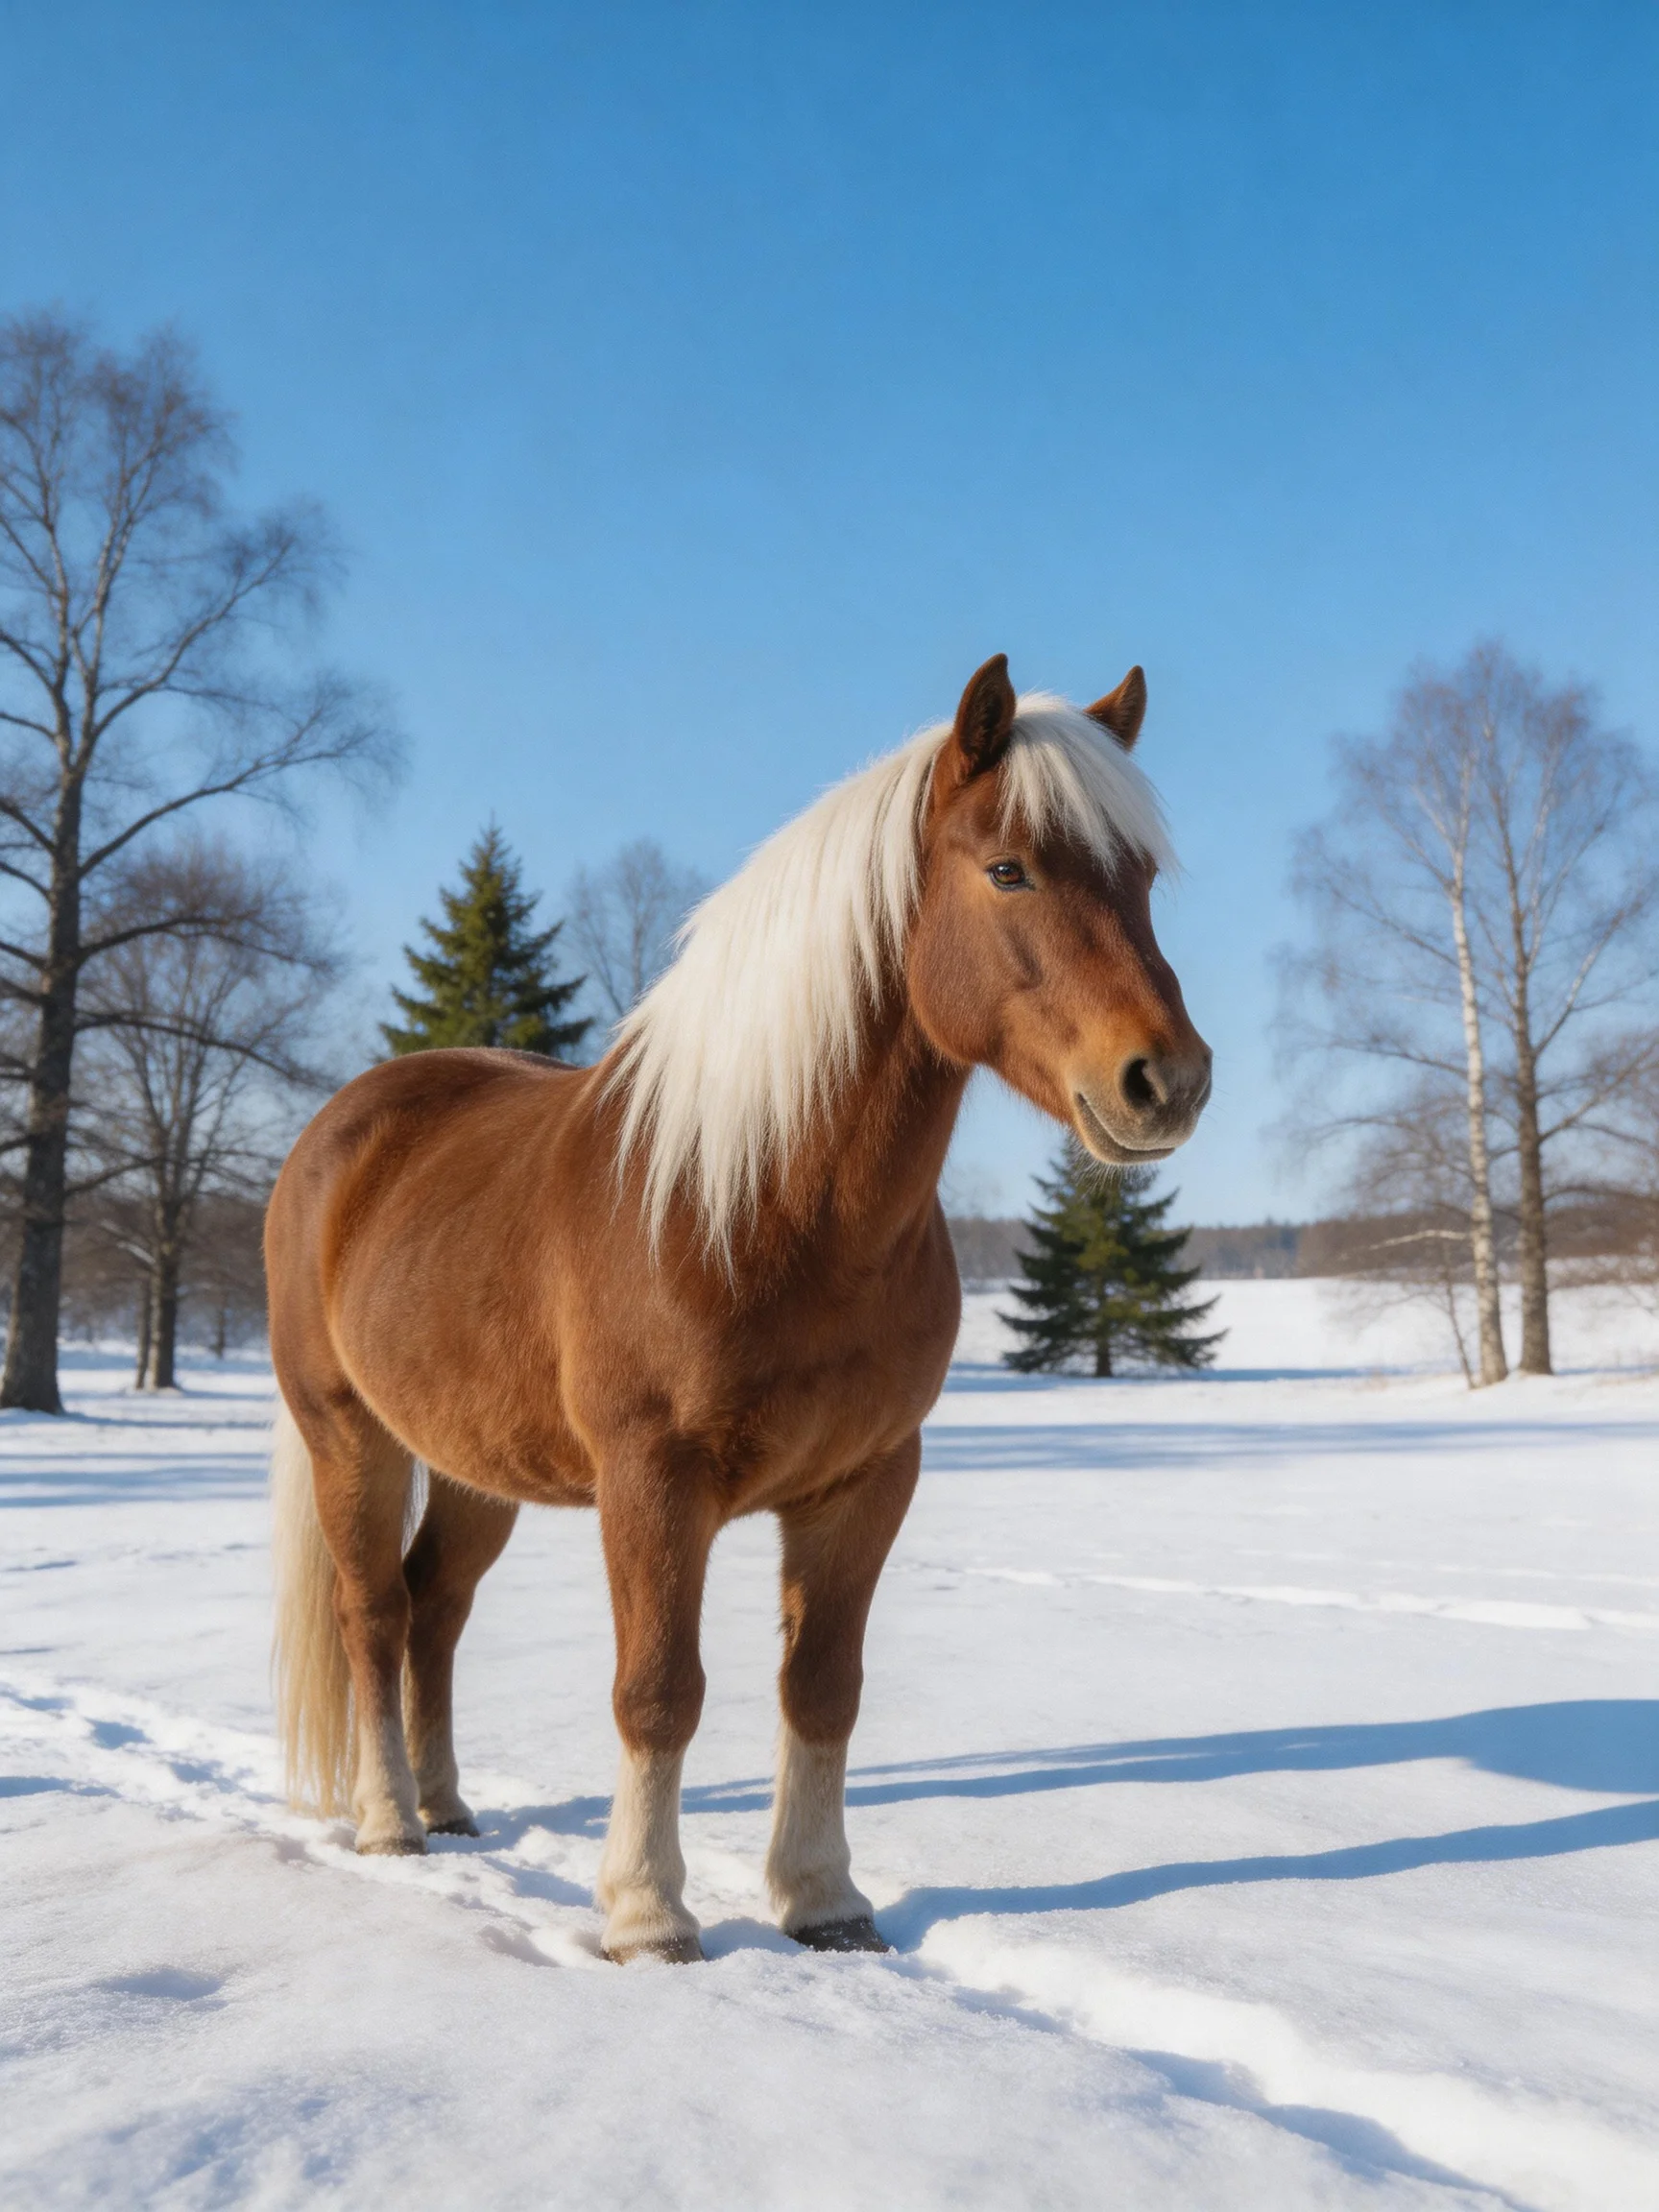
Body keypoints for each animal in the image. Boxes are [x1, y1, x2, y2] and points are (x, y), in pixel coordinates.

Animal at [266, 652, 1210, 1962]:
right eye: (1010, 867)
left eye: (1144, 878)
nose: (1167, 1081)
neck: (760, 1202)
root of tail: (339, 1130)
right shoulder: (654, 1483)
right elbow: (660, 1691)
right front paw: (649, 1914)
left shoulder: (865, 1483)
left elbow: (822, 1688)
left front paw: (824, 1901)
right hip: (349, 1434)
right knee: (372, 1613)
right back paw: (391, 1823)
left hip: (471, 1464)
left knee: (435, 1608)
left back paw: (449, 1808)